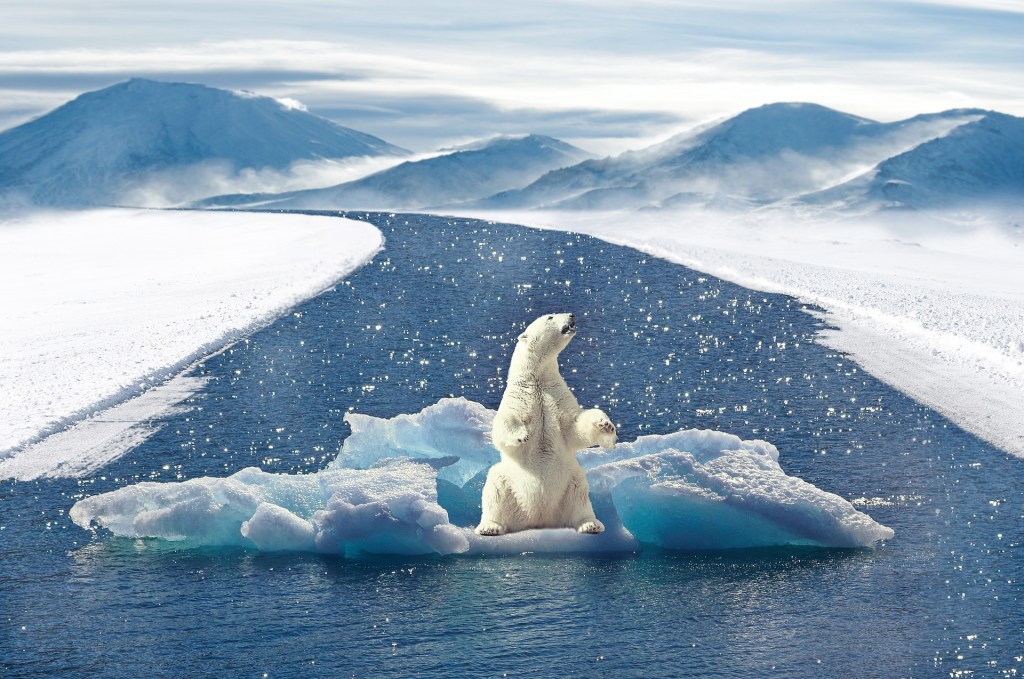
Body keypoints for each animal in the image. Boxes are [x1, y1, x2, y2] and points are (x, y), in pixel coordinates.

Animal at [475, 312, 617, 536]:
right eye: (550, 317)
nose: (571, 314)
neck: (537, 379)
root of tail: (539, 518)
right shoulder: (519, 397)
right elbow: (504, 423)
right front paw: (521, 435)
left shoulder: (556, 396)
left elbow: (574, 426)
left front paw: (606, 425)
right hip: (508, 481)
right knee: (495, 487)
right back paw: (490, 527)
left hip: (570, 482)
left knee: (580, 494)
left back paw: (590, 524)